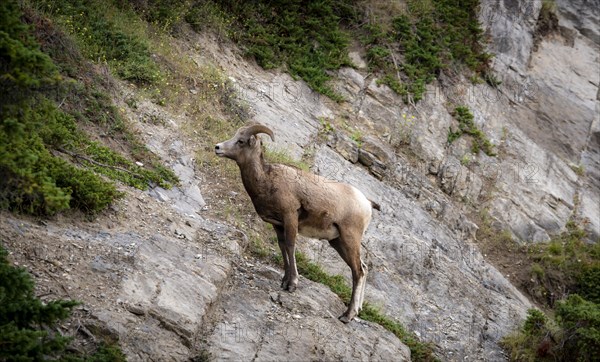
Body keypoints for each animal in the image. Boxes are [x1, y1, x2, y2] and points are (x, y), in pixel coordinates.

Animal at [216, 124, 376, 322]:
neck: (267, 180)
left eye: (241, 141)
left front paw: (292, 285)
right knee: (363, 268)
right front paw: (284, 281)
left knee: (358, 272)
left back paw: (347, 316)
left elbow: (291, 247)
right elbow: (283, 247)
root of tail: (366, 203)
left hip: (349, 238)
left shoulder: (290, 217)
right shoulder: (278, 225)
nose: (217, 147)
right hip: (337, 242)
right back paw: (356, 311)